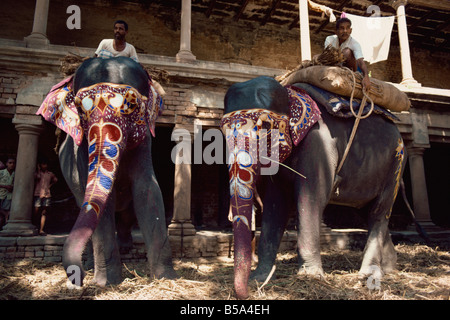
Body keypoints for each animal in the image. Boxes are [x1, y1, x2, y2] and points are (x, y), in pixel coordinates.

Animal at [36, 56, 176, 286]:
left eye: (132, 104)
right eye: (79, 109)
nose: (78, 277)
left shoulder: (144, 142)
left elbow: (147, 189)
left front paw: (166, 278)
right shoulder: (81, 150)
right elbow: (101, 203)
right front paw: (106, 283)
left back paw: (124, 247)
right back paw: (93, 264)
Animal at [221, 75, 408, 300]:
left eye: (264, 124)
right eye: (222, 130)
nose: (248, 292)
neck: (290, 95)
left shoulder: (319, 144)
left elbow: (311, 197)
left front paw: (309, 277)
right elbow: (276, 205)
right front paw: (261, 277)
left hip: (396, 162)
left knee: (379, 213)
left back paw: (368, 275)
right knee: (369, 212)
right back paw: (389, 269)